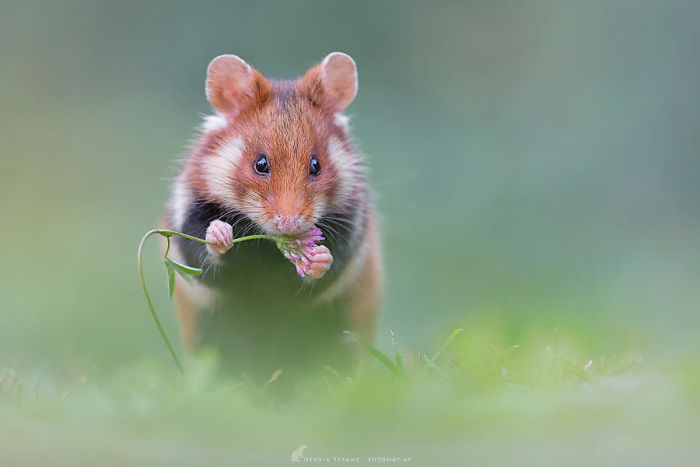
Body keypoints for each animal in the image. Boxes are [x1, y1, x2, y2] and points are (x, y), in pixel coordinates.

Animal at [164, 52, 382, 377]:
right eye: (260, 163)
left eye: (316, 165)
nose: (288, 225)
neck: (267, 247)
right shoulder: (188, 212)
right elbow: (203, 255)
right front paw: (220, 234)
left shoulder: (351, 227)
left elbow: (330, 267)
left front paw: (318, 258)